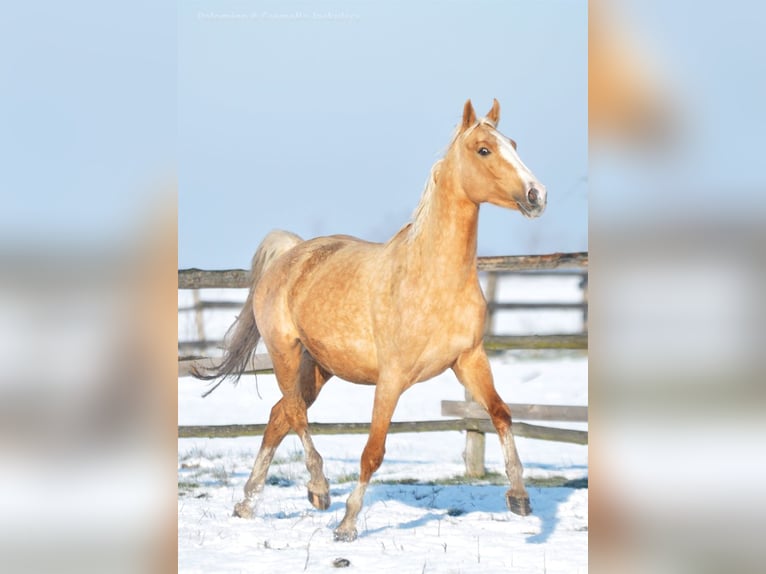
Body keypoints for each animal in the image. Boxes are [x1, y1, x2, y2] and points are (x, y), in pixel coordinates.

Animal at [193, 99, 547, 541]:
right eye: (484, 149)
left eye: (513, 144)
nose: (537, 195)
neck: (433, 278)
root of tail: (292, 253)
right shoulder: (392, 378)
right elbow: (372, 452)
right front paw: (346, 525)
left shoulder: (469, 360)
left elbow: (501, 414)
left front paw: (519, 497)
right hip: (285, 351)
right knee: (295, 412)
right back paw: (318, 490)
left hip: (320, 366)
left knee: (280, 415)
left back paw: (246, 504)